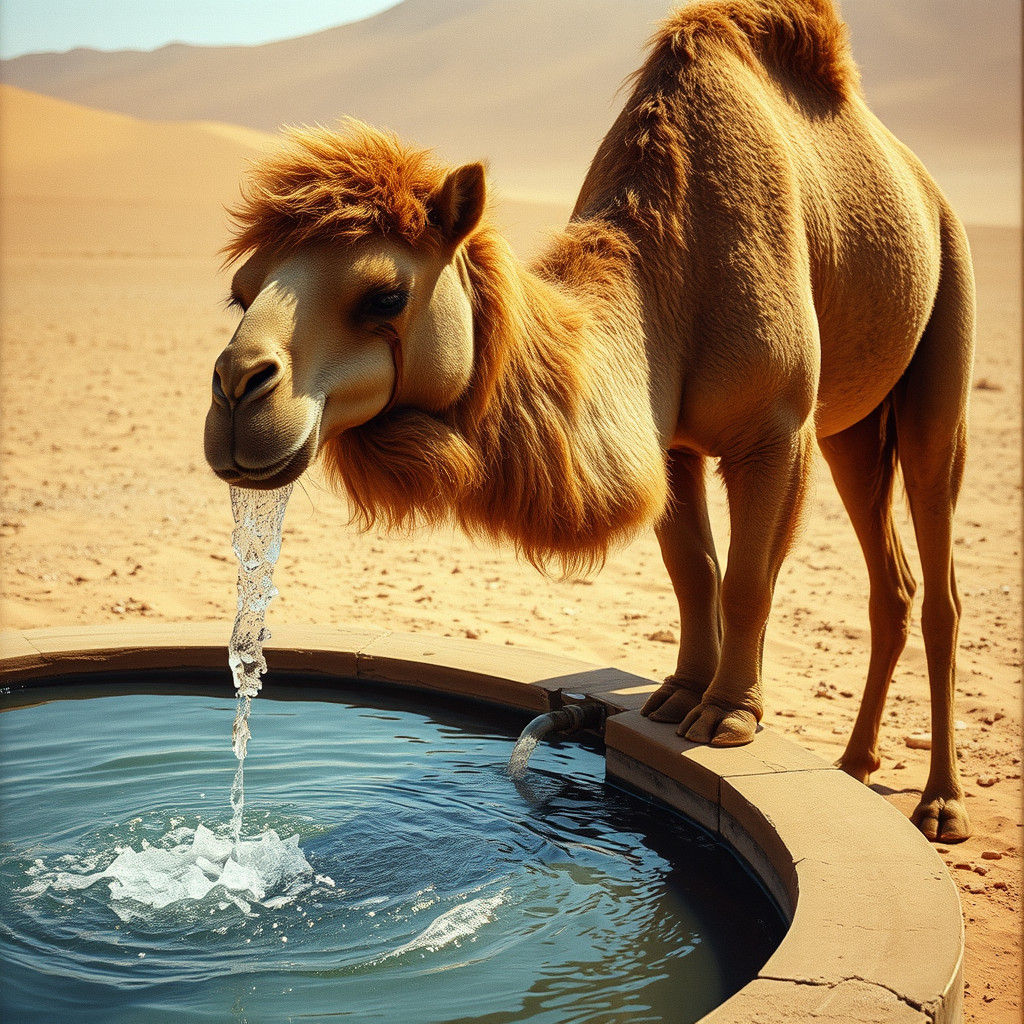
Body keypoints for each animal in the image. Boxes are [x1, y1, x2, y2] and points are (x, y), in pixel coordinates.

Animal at [205, 0, 975, 843]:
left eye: (385, 296)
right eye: (241, 292)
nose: (238, 392)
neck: (672, 274)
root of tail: (927, 186)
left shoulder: (777, 428)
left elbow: (746, 579)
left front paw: (727, 717)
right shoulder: (673, 444)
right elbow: (692, 568)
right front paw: (678, 696)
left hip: (944, 325)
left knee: (940, 578)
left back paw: (941, 805)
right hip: (852, 427)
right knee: (892, 579)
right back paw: (857, 764)